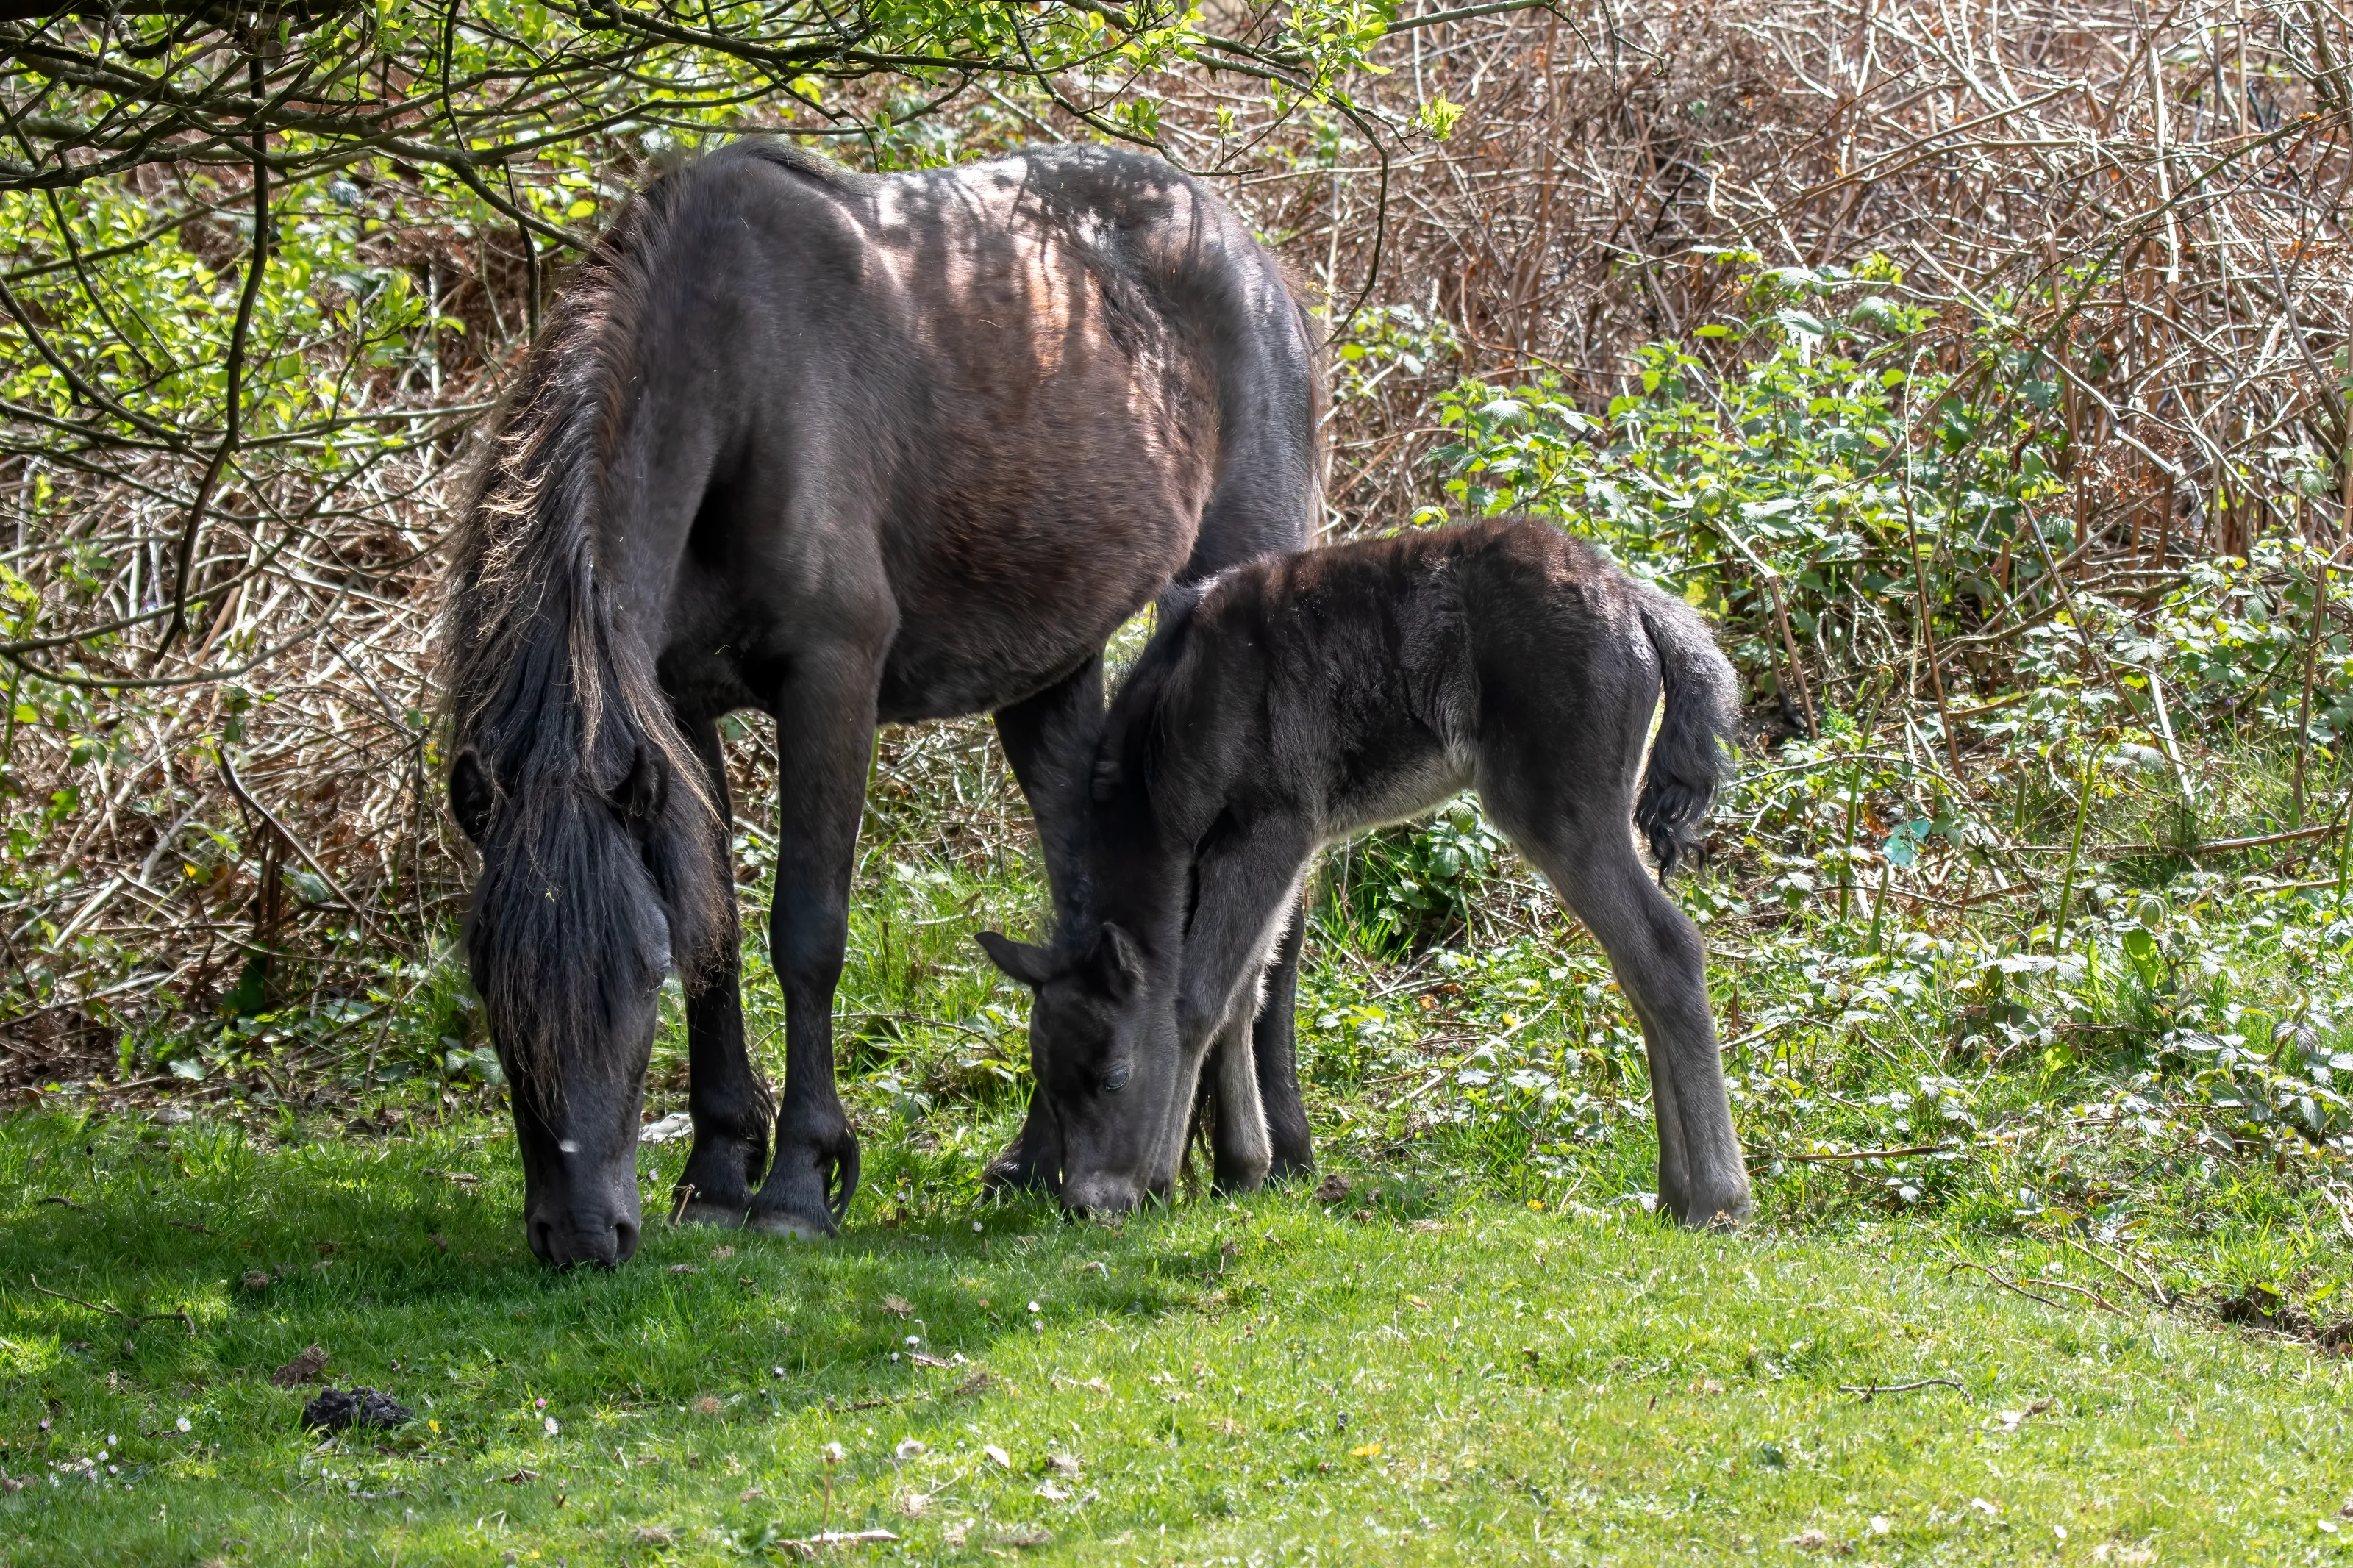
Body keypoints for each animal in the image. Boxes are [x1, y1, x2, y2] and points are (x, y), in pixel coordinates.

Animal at [442, 138, 1324, 1266]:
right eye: (490, 984)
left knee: (1276, 905)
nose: (582, 1234)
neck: (735, 377)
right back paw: (1041, 1162)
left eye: (637, 976)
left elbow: (805, 931)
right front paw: (718, 1172)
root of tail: (1249, 255)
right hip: (1049, 679)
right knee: (1083, 907)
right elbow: (717, 930)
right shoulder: (678, 711)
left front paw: (799, 1182)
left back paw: (1272, 1149)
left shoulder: (833, 684)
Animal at [978, 517, 1752, 1226]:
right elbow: (1244, 990)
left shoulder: (1275, 823)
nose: (1086, 1204)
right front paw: (1247, 1167)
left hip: (1560, 806)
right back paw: (1676, 1193)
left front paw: (1161, 1178)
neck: (1164, 732)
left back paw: (1719, 1197)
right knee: (1637, 966)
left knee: (1665, 948)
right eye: (1047, 1083)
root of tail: (1636, 601)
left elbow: (1197, 996)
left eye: (1114, 1077)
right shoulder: (1278, 844)